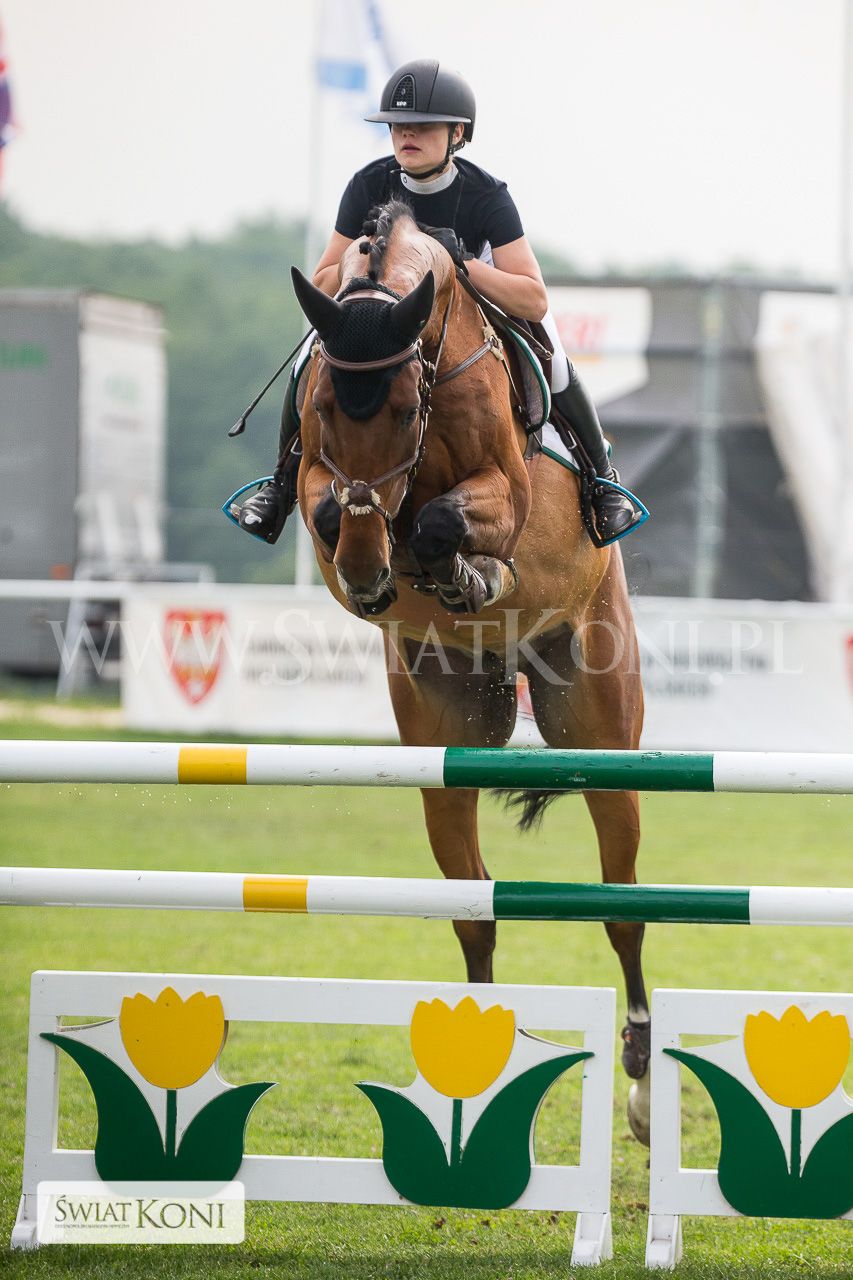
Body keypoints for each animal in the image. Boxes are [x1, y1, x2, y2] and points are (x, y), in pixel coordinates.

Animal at [290, 200, 649, 1141]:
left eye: (405, 405)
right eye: (324, 405)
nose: (369, 573)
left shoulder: (503, 491)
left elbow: (447, 519)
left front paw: (461, 567)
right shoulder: (320, 479)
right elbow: (330, 504)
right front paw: (385, 563)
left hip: (601, 729)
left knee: (624, 905)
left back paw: (640, 1082)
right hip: (442, 751)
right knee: (475, 907)